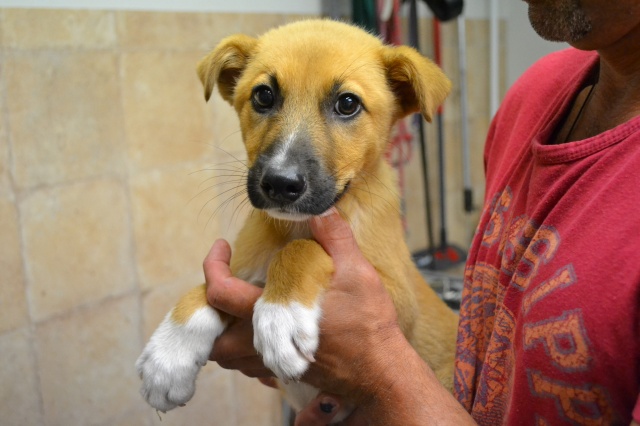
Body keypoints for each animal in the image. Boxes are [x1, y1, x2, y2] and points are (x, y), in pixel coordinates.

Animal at [136, 19, 459, 421]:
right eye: (263, 96)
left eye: (347, 103)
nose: (280, 183)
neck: (293, 225)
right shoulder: (239, 273)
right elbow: (206, 287)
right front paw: (168, 355)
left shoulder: (397, 298)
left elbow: (302, 250)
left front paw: (281, 315)